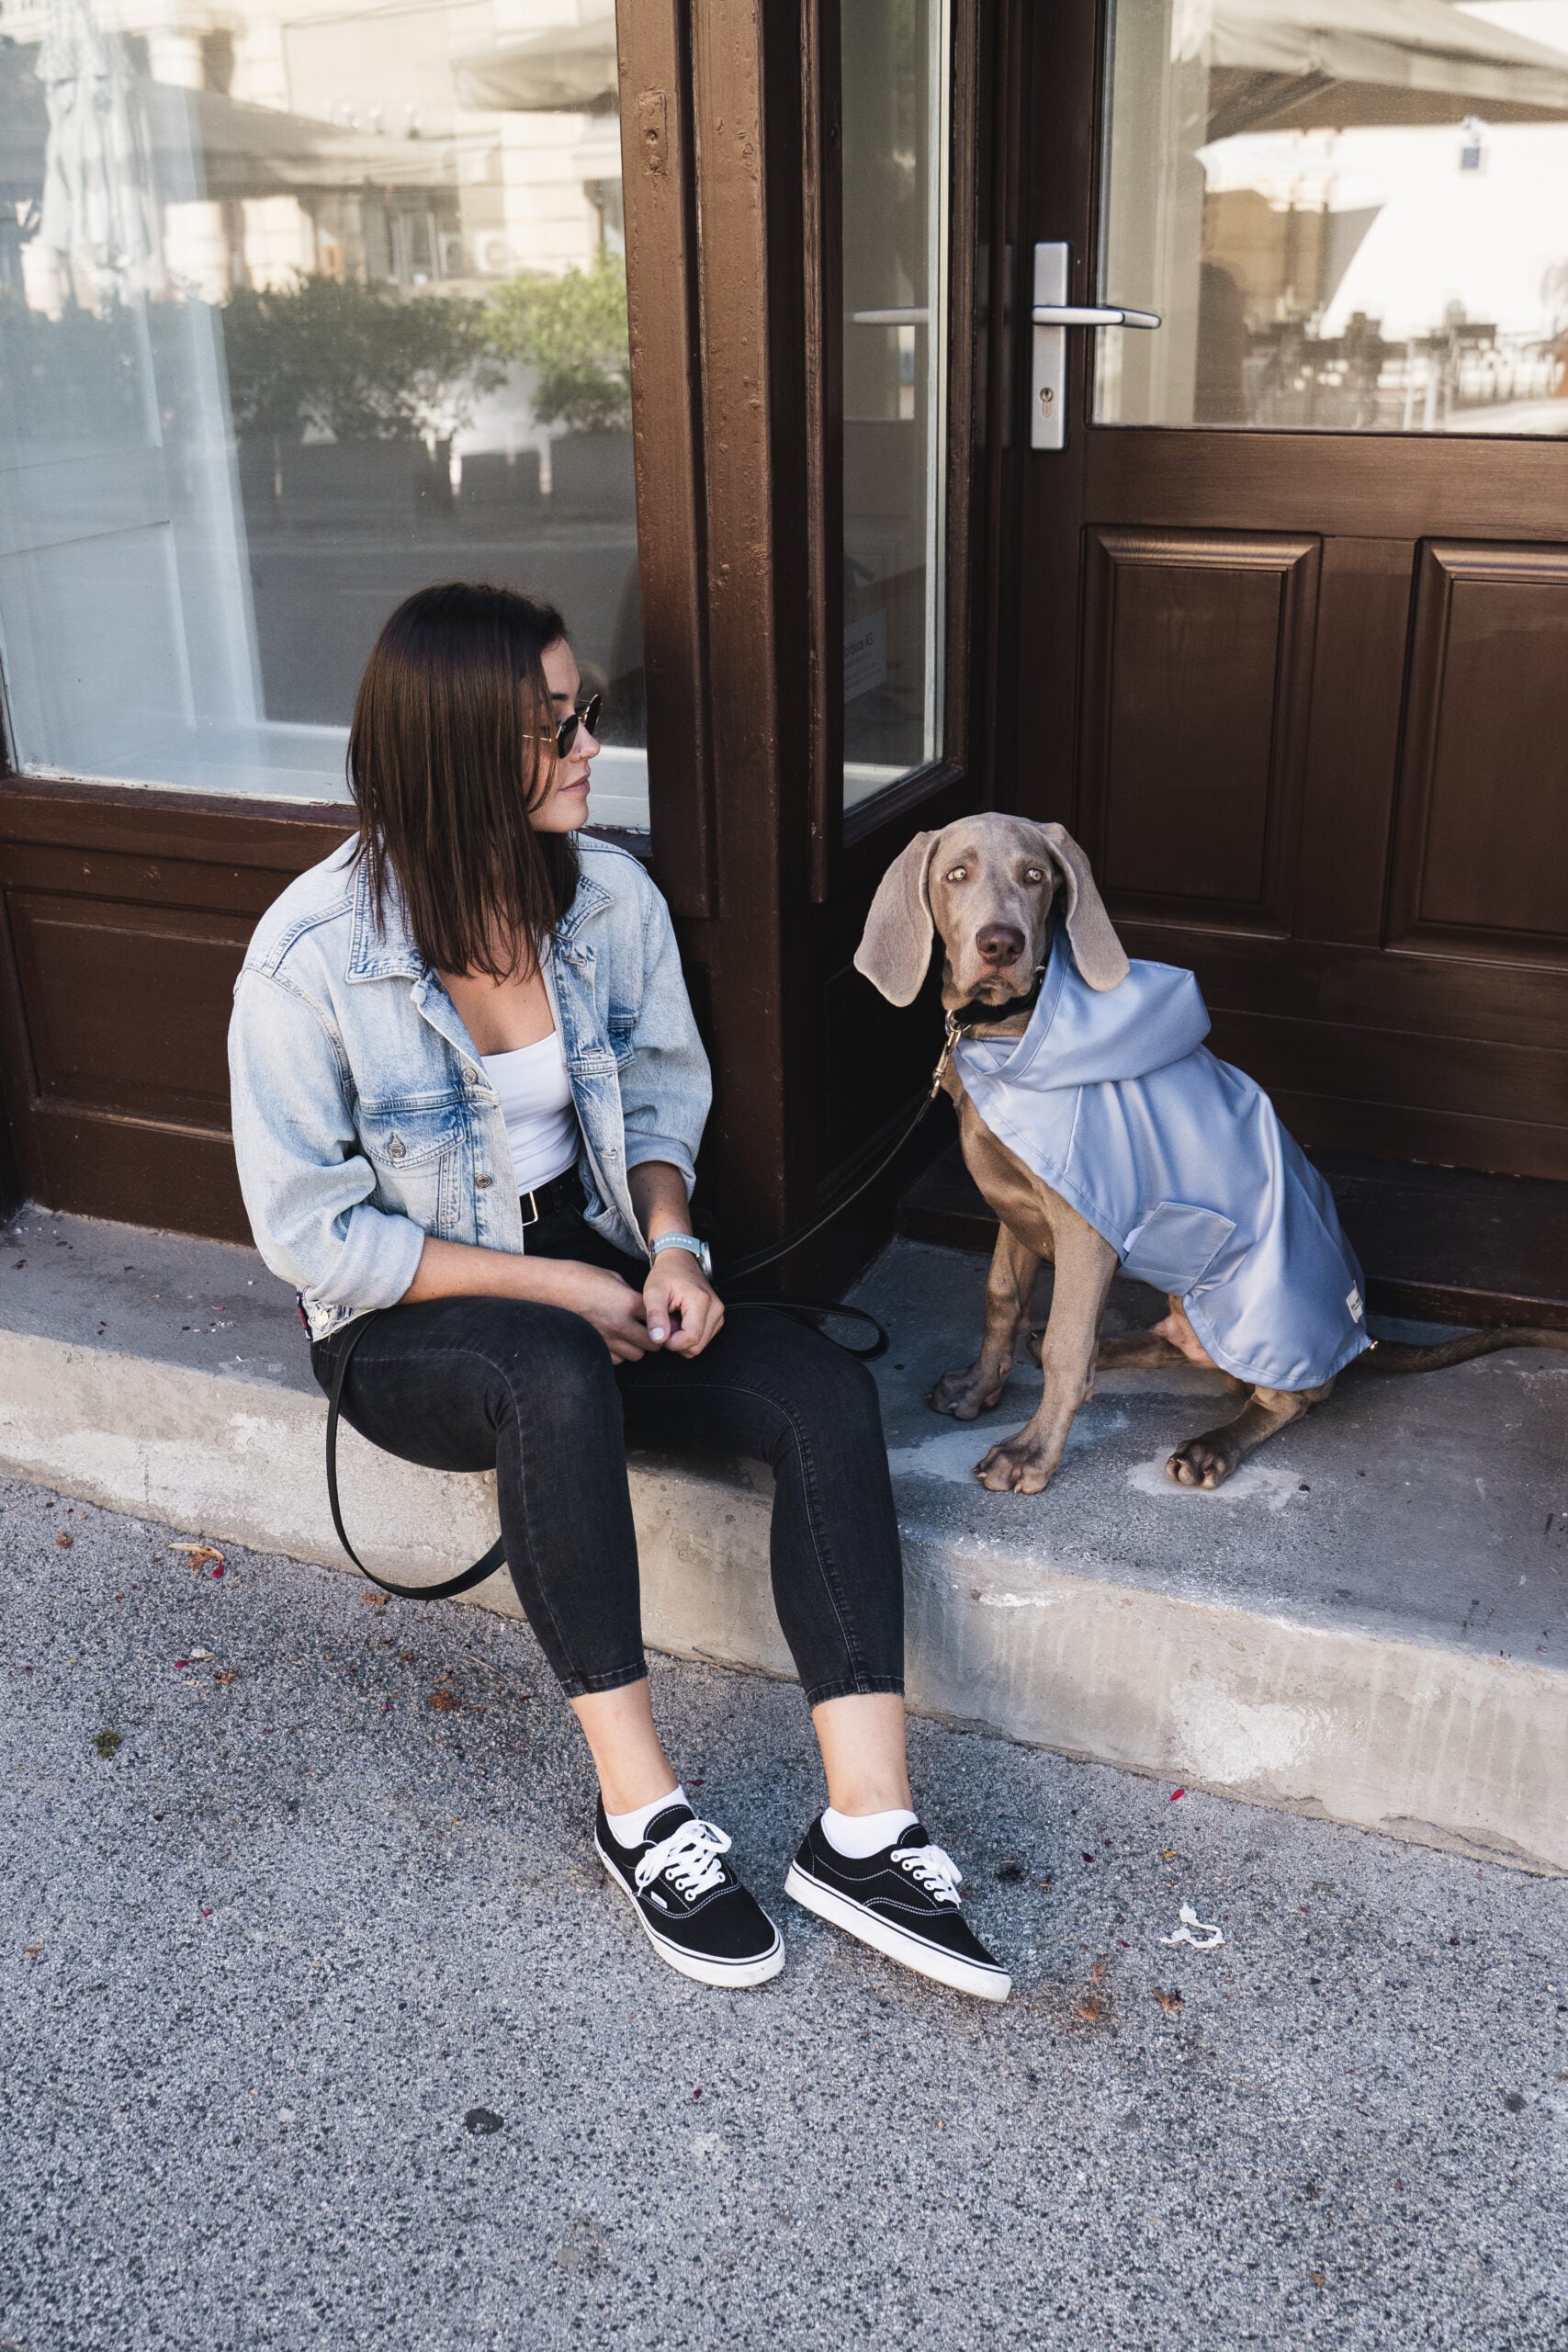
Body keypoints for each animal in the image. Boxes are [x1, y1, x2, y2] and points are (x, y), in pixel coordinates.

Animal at [864, 818, 1561, 1496]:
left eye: (1035, 876)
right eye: (956, 874)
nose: (1001, 946)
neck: (1011, 1032)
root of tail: (1356, 1338)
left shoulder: (1085, 1230)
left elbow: (1067, 1347)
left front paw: (1029, 1455)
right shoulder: (1012, 1204)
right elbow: (1001, 1299)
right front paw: (978, 1387)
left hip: (1258, 1313)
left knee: (1292, 1396)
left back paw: (1212, 1447)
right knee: (1178, 1345)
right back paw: (1112, 1354)